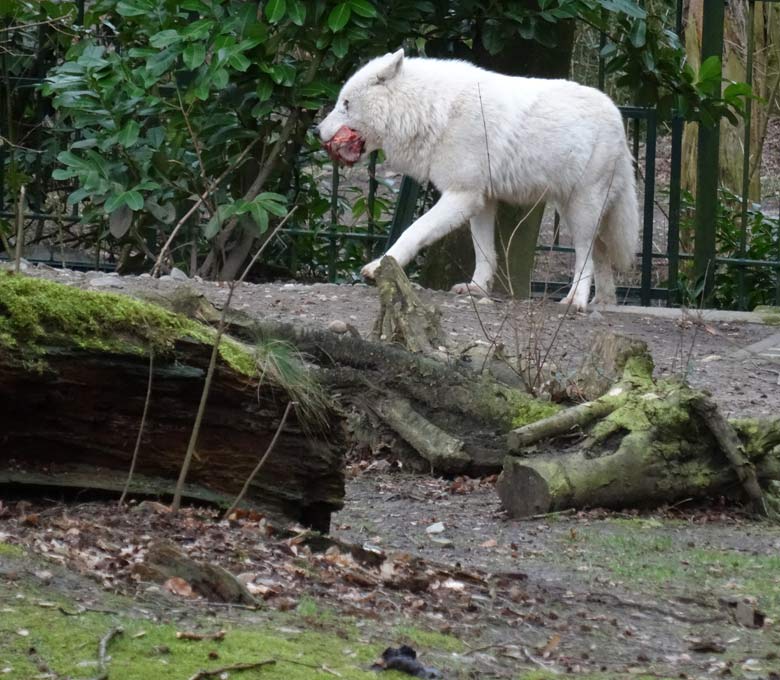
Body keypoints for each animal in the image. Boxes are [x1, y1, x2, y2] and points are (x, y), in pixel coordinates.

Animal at [316, 48, 640, 310]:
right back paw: (603, 301)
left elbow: (413, 231)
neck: (431, 110)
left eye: (346, 104)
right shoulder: (482, 201)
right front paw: (476, 288)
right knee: (600, 251)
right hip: (571, 209)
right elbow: (484, 251)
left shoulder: (461, 195)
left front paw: (378, 266)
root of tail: (617, 115)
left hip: (581, 209)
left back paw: (576, 301)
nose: (316, 131)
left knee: (586, 253)